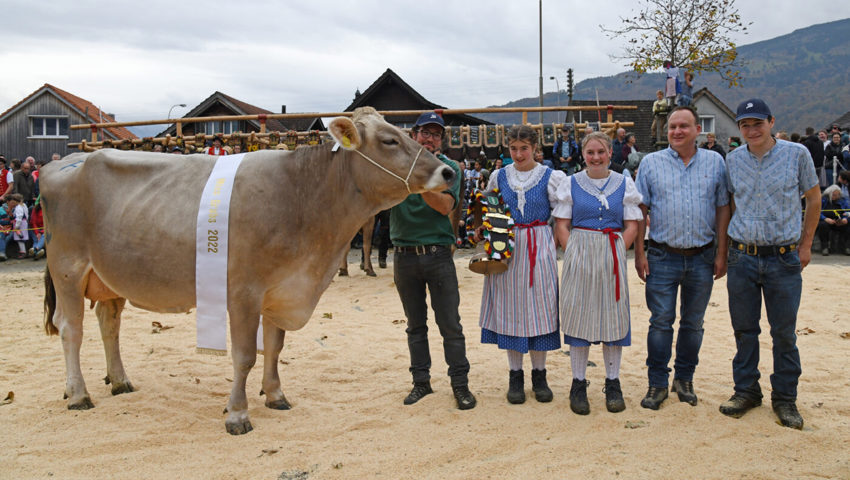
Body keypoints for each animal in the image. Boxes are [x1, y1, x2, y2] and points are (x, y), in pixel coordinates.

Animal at [41, 108, 450, 436]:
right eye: (389, 140)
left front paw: (276, 395)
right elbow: (244, 355)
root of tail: (64, 162)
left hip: (110, 275)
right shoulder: (242, 292)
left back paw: (120, 381)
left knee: (108, 322)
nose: (447, 170)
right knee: (70, 328)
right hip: (67, 268)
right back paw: (78, 394)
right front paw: (237, 414)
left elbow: (274, 346)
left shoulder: (279, 289)